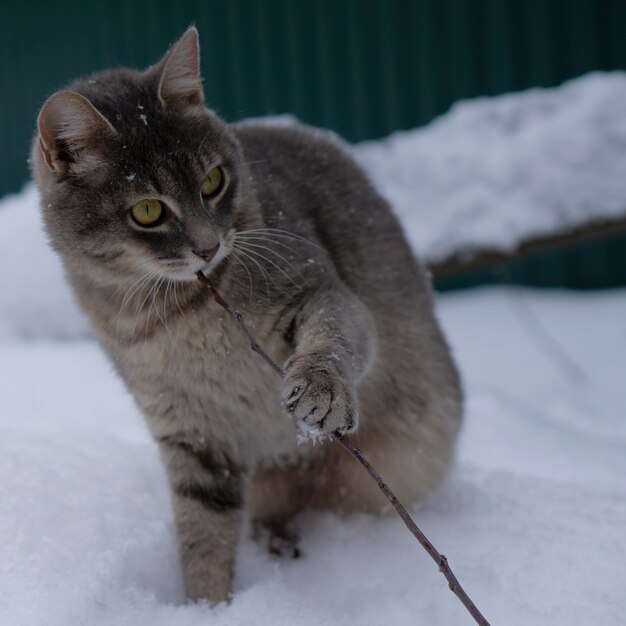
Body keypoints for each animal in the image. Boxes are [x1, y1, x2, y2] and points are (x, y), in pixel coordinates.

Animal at [31, 28, 460, 600]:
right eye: (148, 211)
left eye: (213, 181)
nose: (209, 247)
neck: (174, 314)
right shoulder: (191, 429)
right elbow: (203, 530)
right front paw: (208, 606)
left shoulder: (321, 291)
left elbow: (332, 337)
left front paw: (321, 390)